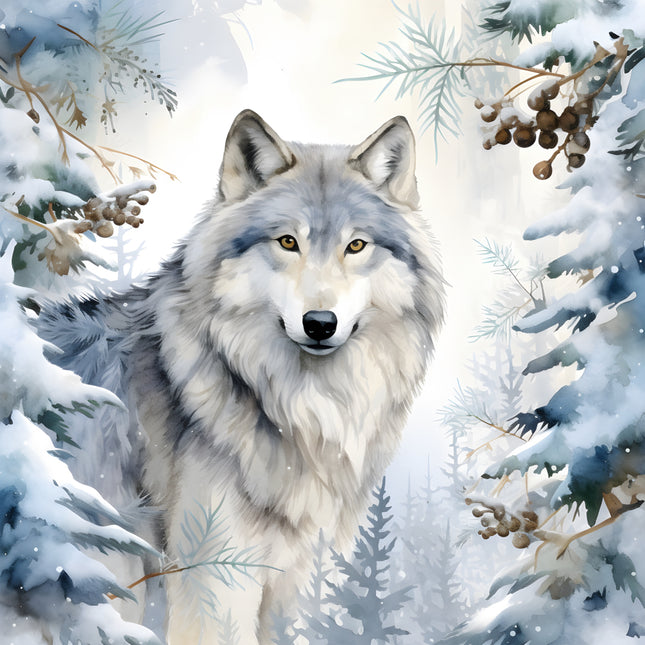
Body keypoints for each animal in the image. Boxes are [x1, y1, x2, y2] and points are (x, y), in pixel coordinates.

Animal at [39, 110, 444, 644]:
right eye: (288, 242)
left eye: (356, 245)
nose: (320, 323)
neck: (300, 410)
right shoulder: (214, 586)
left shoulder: (287, 588)